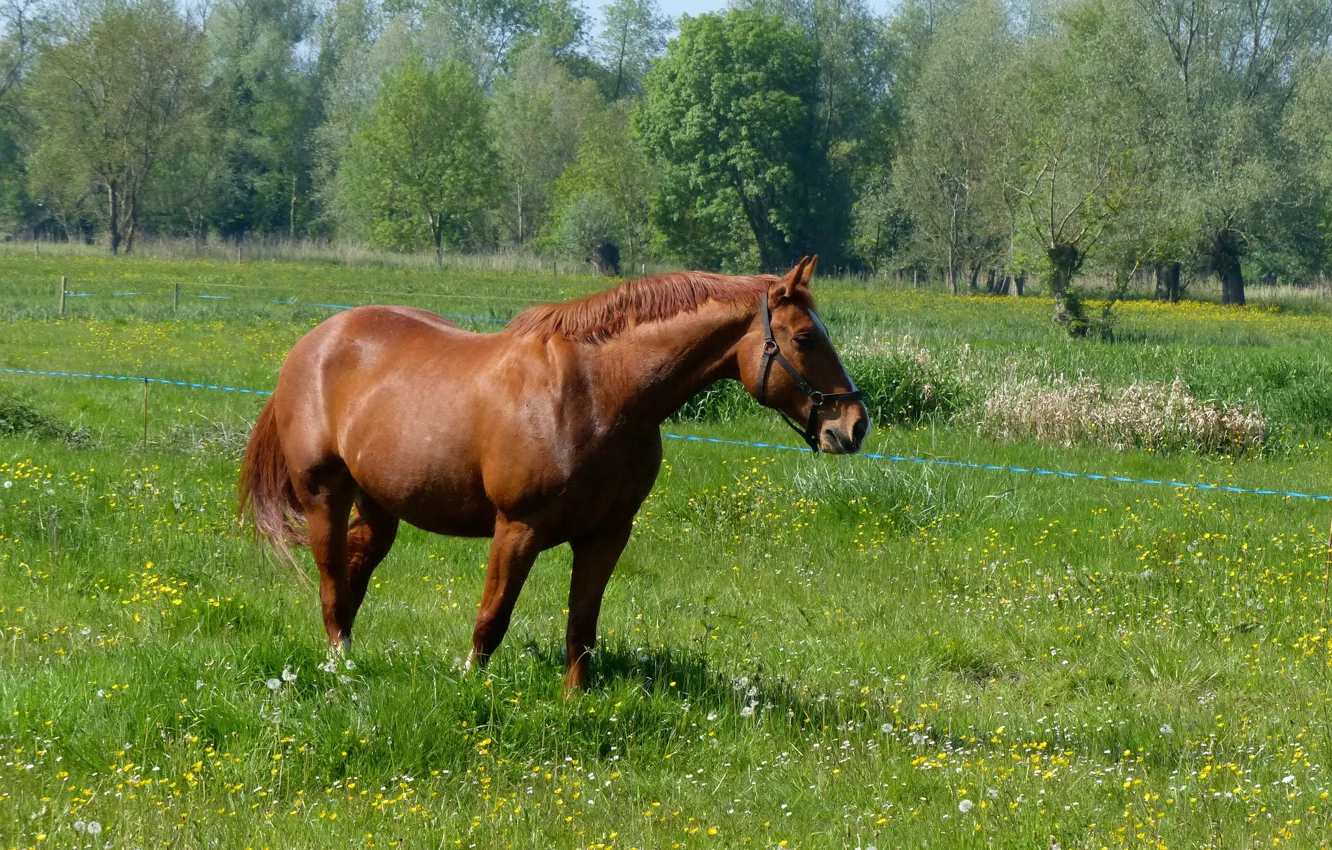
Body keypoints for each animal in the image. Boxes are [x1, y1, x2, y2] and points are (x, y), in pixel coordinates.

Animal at [238, 256, 868, 692]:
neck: (599, 394)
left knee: (353, 578)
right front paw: (470, 686)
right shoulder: (517, 529)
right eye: (805, 338)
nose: (855, 426)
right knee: (331, 585)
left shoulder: (607, 534)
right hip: (325, 495)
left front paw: (574, 701)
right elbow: (491, 620)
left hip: (379, 506)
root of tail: (313, 344)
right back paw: (339, 669)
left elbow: (582, 627)